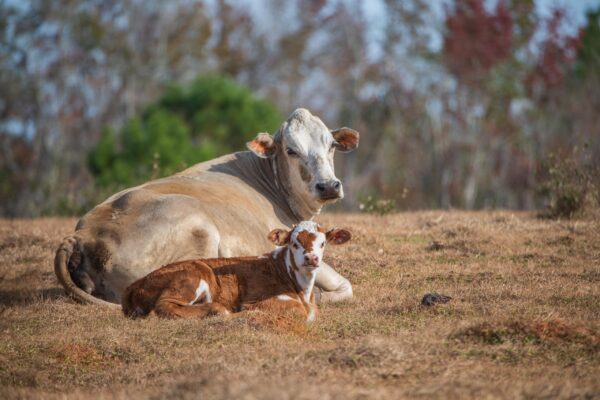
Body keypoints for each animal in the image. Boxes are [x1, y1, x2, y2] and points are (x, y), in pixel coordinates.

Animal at [54, 108, 358, 308]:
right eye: (291, 151)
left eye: (331, 146)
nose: (328, 186)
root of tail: (84, 233)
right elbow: (345, 286)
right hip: (201, 233)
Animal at [119, 222, 350, 322]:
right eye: (294, 243)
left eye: (322, 243)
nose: (311, 258)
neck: (303, 290)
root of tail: (134, 284)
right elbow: (299, 310)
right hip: (194, 274)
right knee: (164, 306)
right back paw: (222, 310)